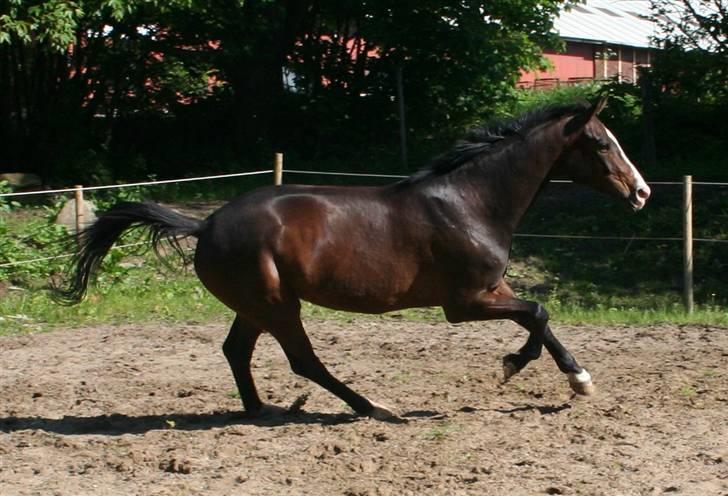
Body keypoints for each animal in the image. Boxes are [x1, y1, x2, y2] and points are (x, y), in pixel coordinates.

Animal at [55, 98, 648, 422]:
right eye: (601, 143)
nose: (641, 192)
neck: (471, 202)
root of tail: (205, 224)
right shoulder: (465, 303)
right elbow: (539, 314)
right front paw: (530, 370)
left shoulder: (492, 292)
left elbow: (542, 317)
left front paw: (568, 378)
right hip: (278, 304)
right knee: (303, 360)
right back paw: (374, 409)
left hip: (256, 304)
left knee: (236, 351)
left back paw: (259, 409)